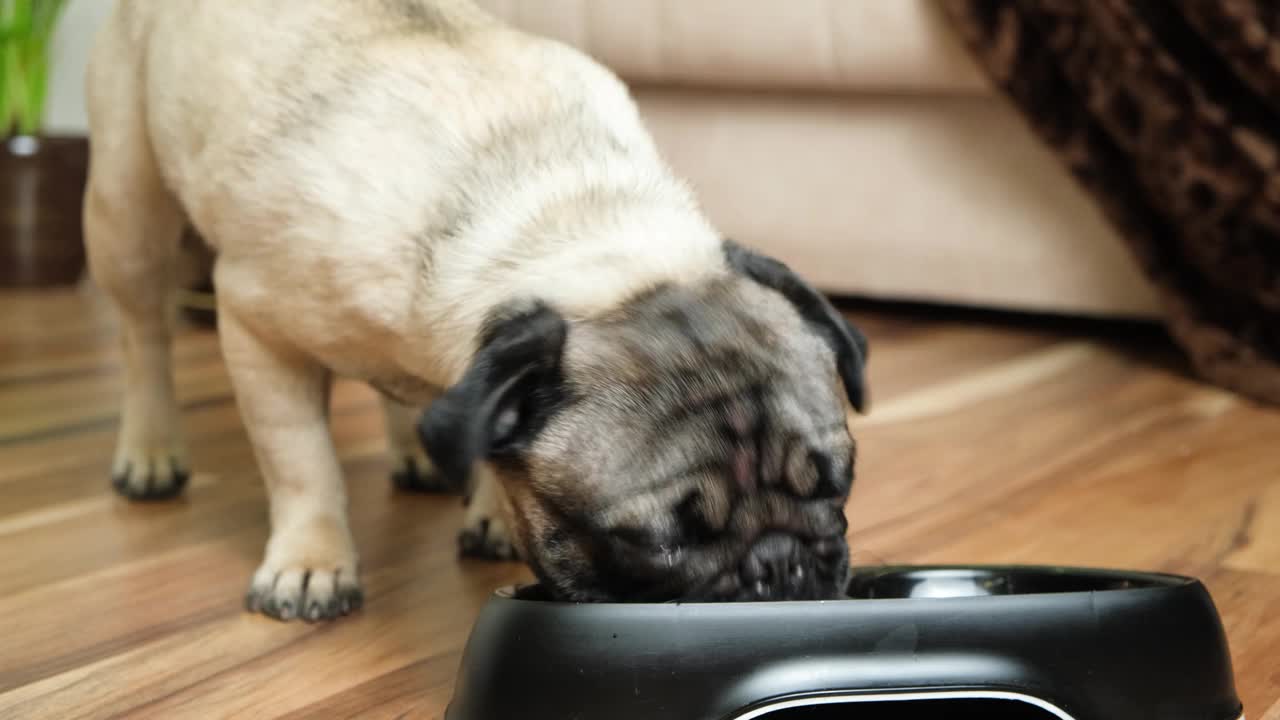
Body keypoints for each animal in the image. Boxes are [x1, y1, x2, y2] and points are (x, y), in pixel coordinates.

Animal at [82, 0, 870, 620]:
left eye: (839, 483)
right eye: (655, 541)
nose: (780, 563)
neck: (565, 221)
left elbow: (484, 430)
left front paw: (490, 508)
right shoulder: (258, 328)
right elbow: (301, 460)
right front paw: (311, 562)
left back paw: (415, 452)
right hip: (128, 206)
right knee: (141, 333)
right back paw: (150, 452)